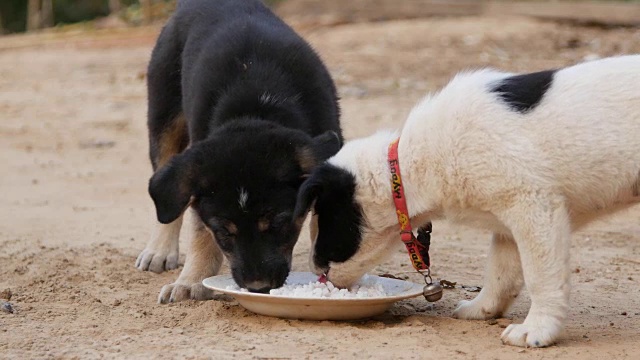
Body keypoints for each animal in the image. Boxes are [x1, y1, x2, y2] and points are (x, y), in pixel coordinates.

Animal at [137, 0, 342, 304]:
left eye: (279, 223)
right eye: (223, 231)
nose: (258, 287)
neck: (256, 108)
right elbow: (200, 232)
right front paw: (191, 281)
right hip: (164, 116)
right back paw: (160, 250)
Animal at [296, 55, 640, 346]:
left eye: (325, 226)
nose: (315, 270)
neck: (411, 163)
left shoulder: (535, 206)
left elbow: (540, 276)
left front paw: (537, 330)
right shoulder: (507, 223)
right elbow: (500, 273)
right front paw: (482, 309)